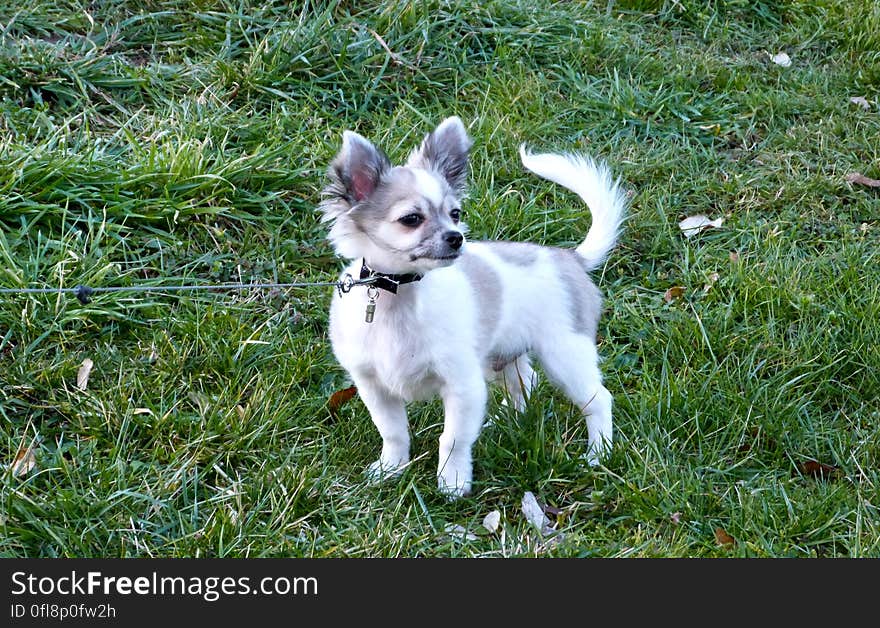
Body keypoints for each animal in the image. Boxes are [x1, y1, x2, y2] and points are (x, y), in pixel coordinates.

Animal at [322, 116, 624, 496]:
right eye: (411, 219)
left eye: (455, 214)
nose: (456, 238)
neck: (399, 294)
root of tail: (570, 258)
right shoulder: (374, 386)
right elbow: (392, 431)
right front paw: (391, 469)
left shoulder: (462, 384)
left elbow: (452, 439)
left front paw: (452, 483)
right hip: (505, 355)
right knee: (525, 382)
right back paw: (505, 420)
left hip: (565, 354)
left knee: (598, 400)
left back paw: (598, 454)